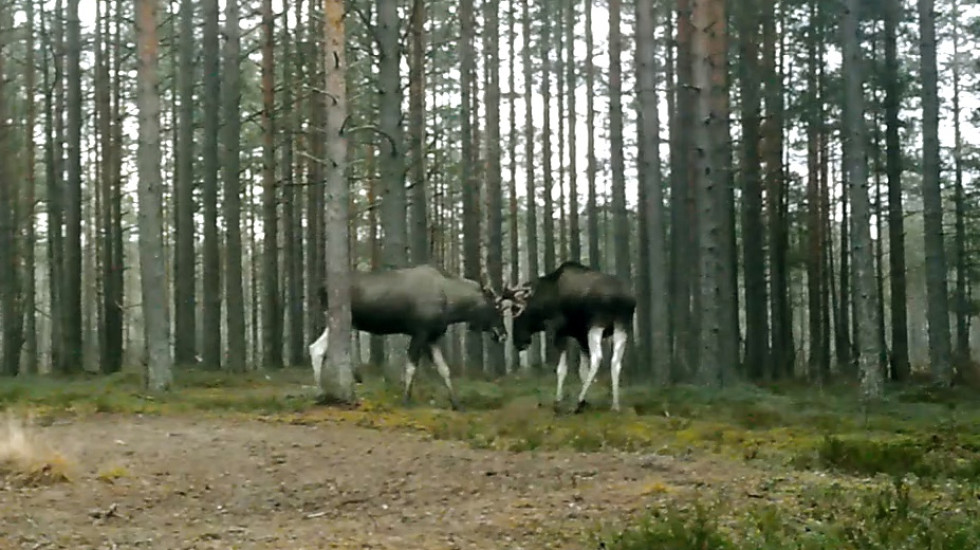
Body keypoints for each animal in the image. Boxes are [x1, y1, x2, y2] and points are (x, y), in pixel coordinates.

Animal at [306, 266, 510, 412]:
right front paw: (406, 400)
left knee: (316, 348)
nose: (503, 335)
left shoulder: (432, 337)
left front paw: (457, 404)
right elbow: (411, 367)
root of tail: (320, 288)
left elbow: (444, 369)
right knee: (317, 348)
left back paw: (320, 393)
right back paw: (321, 392)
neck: (451, 307)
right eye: (496, 307)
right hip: (345, 321)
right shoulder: (420, 332)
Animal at [506, 264, 636, 414]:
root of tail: (625, 299)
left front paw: (559, 401)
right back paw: (615, 404)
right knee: (615, 362)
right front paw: (586, 401)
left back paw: (579, 401)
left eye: (515, 310)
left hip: (597, 324)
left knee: (597, 358)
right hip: (622, 325)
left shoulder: (559, 331)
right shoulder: (581, 336)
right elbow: (582, 371)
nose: (518, 342)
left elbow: (562, 369)